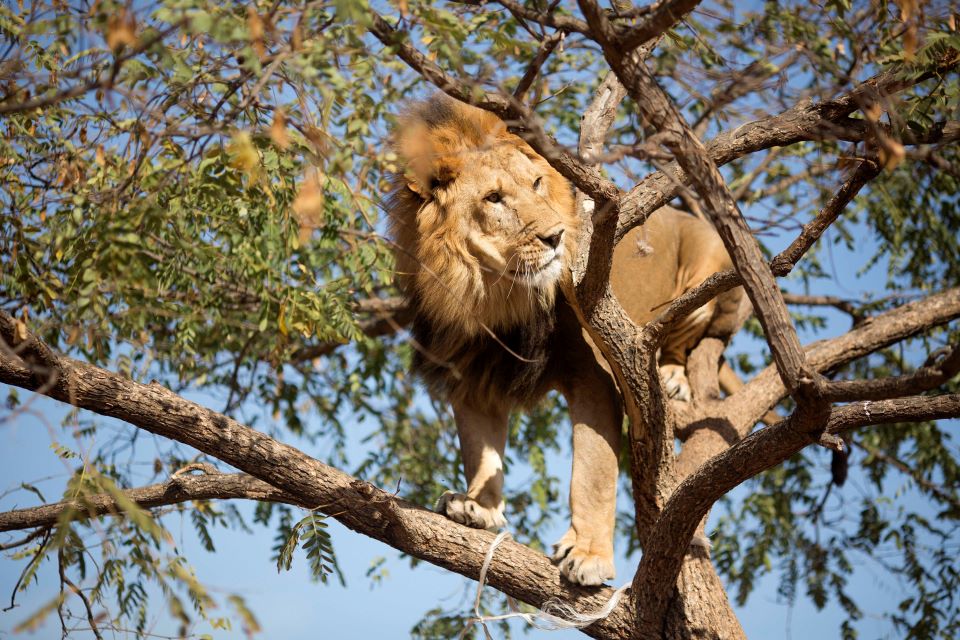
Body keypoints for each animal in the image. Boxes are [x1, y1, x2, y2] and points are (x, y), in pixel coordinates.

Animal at [386, 95, 748, 584]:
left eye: (537, 183)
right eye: (494, 198)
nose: (555, 236)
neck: (493, 296)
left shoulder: (595, 373)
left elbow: (592, 471)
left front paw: (589, 554)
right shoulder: (472, 370)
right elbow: (481, 450)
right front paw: (478, 506)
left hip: (706, 267)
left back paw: (671, 376)